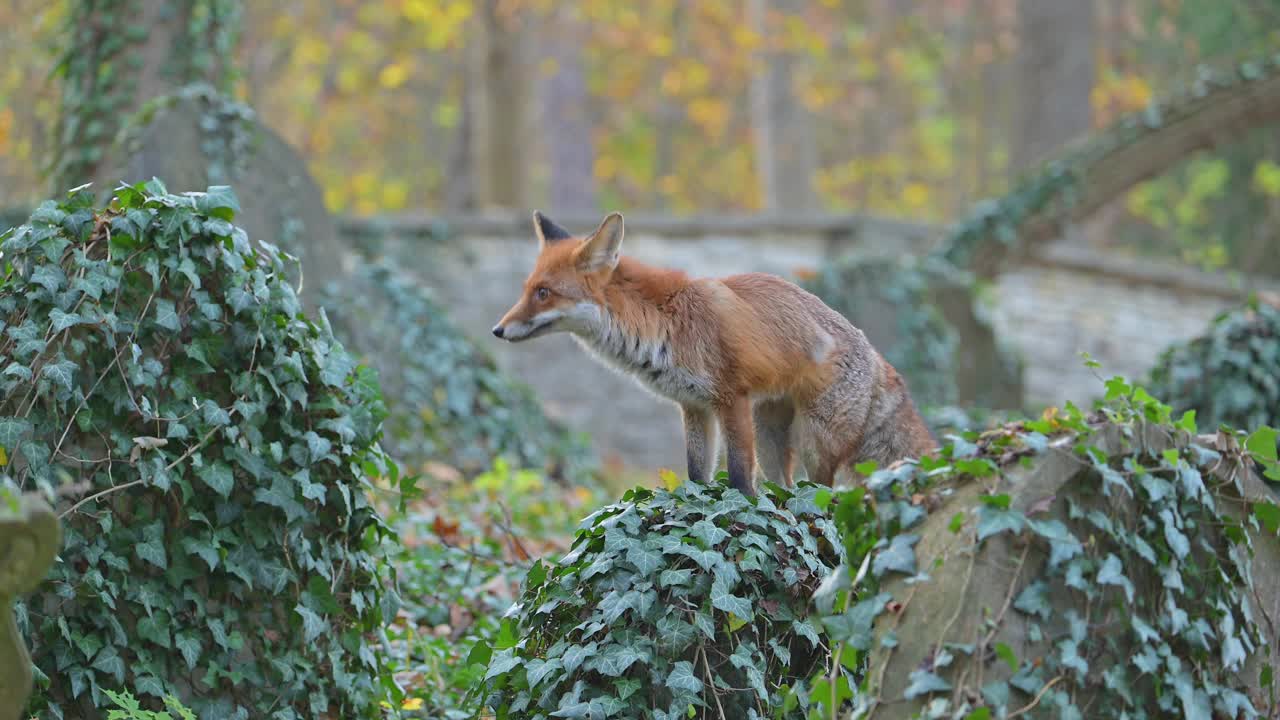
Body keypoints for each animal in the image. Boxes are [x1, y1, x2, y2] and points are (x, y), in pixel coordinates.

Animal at [494, 210, 936, 491]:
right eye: (527, 290)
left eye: (544, 293)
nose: (497, 330)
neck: (664, 325)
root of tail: (877, 356)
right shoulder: (693, 406)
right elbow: (697, 476)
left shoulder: (731, 398)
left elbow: (739, 478)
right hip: (771, 438)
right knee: (787, 489)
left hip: (814, 441)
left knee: (822, 494)